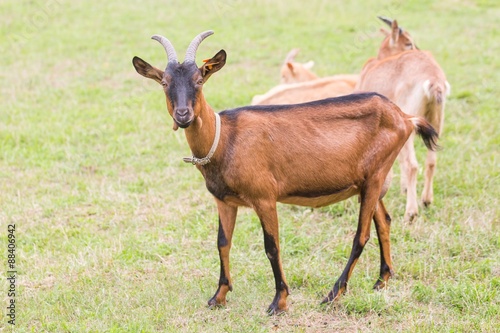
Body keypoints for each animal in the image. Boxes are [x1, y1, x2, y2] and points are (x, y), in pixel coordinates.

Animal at [132, 29, 438, 312]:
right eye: (164, 82)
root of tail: (404, 117)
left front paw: (279, 301)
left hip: (376, 175)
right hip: (368, 181)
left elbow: (272, 246)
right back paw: (382, 280)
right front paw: (218, 296)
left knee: (360, 236)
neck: (226, 139)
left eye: (199, 80)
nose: (183, 115)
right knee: (383, 221)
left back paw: (333, 294)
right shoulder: (224, 201)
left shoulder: (264, 197)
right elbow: (222, 242)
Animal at [356, 17, 450, 220]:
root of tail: (434, 80)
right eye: (408, 42)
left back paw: (411, 213)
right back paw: (426, 200)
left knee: (412, 165)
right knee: (431, 161)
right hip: (435, 123)